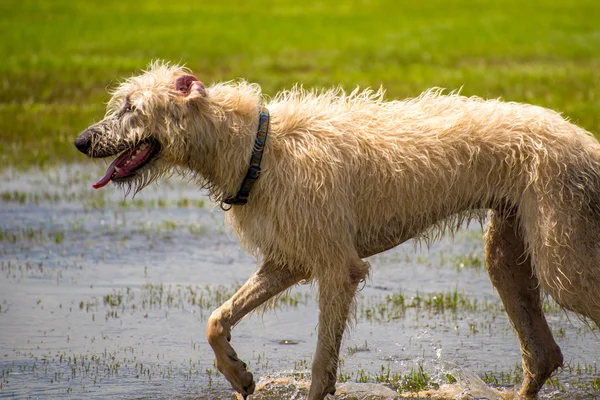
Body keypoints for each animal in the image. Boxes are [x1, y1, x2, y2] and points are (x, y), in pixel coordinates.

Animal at [75, 61, 600, 398]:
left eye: (130, 107)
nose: (81, 141)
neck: (256, 146)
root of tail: (585, 141)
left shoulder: (336, 265)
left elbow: (320, 367)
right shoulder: (286, 258)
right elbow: (216, 319)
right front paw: (239, 374)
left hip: (559, 248)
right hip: (512, 242)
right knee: (543, 353)